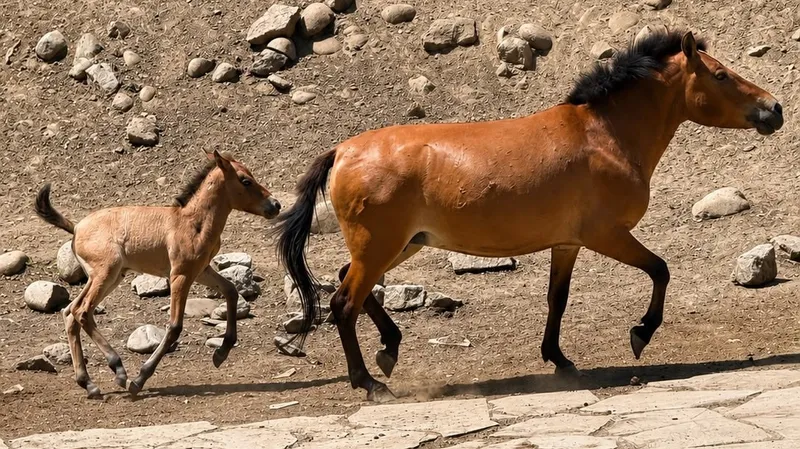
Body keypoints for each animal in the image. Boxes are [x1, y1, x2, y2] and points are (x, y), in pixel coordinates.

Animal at [34, 150, 281, 398]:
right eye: (245, 180)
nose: (275, 204)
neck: (193, 222)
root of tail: (76, 228)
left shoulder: (201, 270)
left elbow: (230, 291)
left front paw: (221, 353)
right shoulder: (180, 275)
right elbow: (174, 326)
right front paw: (140, 378)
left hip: (108, 277)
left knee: (70, 312)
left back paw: (89, 384)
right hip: (106, 274)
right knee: (82, 311)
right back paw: (119, 370)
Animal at [272, 30, 784, 402]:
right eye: (720, 74)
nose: (773, 109)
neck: (605, 135)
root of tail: (342, 151)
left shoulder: (568, 242)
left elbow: (557, 299)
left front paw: (560, 361)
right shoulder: (606, 234)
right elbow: (661, 269)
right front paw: (640, 334)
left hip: (399, 245)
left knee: (347, 284)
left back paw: (389, 350)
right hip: (381, 246)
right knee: (344, 304)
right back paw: (370, 382)